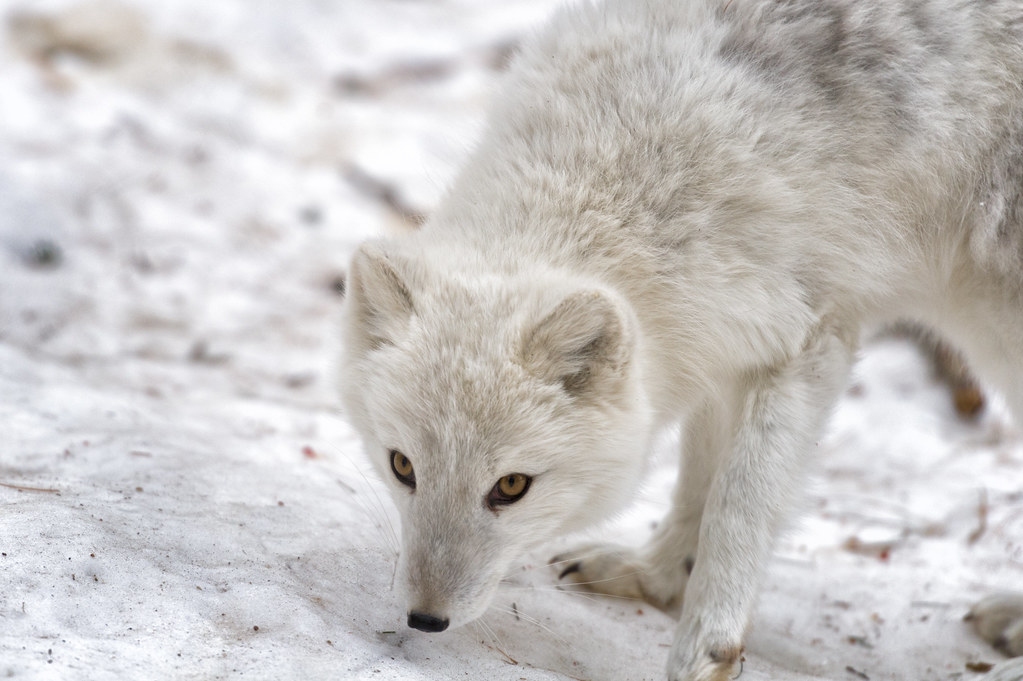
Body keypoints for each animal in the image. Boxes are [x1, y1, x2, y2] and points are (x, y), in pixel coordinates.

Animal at [341, 1, 1023, 678]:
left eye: (510, 487)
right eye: (402, 467)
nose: (425, 618)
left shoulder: (807, 342)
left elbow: (737, 507)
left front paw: (705, 650)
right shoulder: (721, 347)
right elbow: (698, 481)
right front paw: (655, 576)